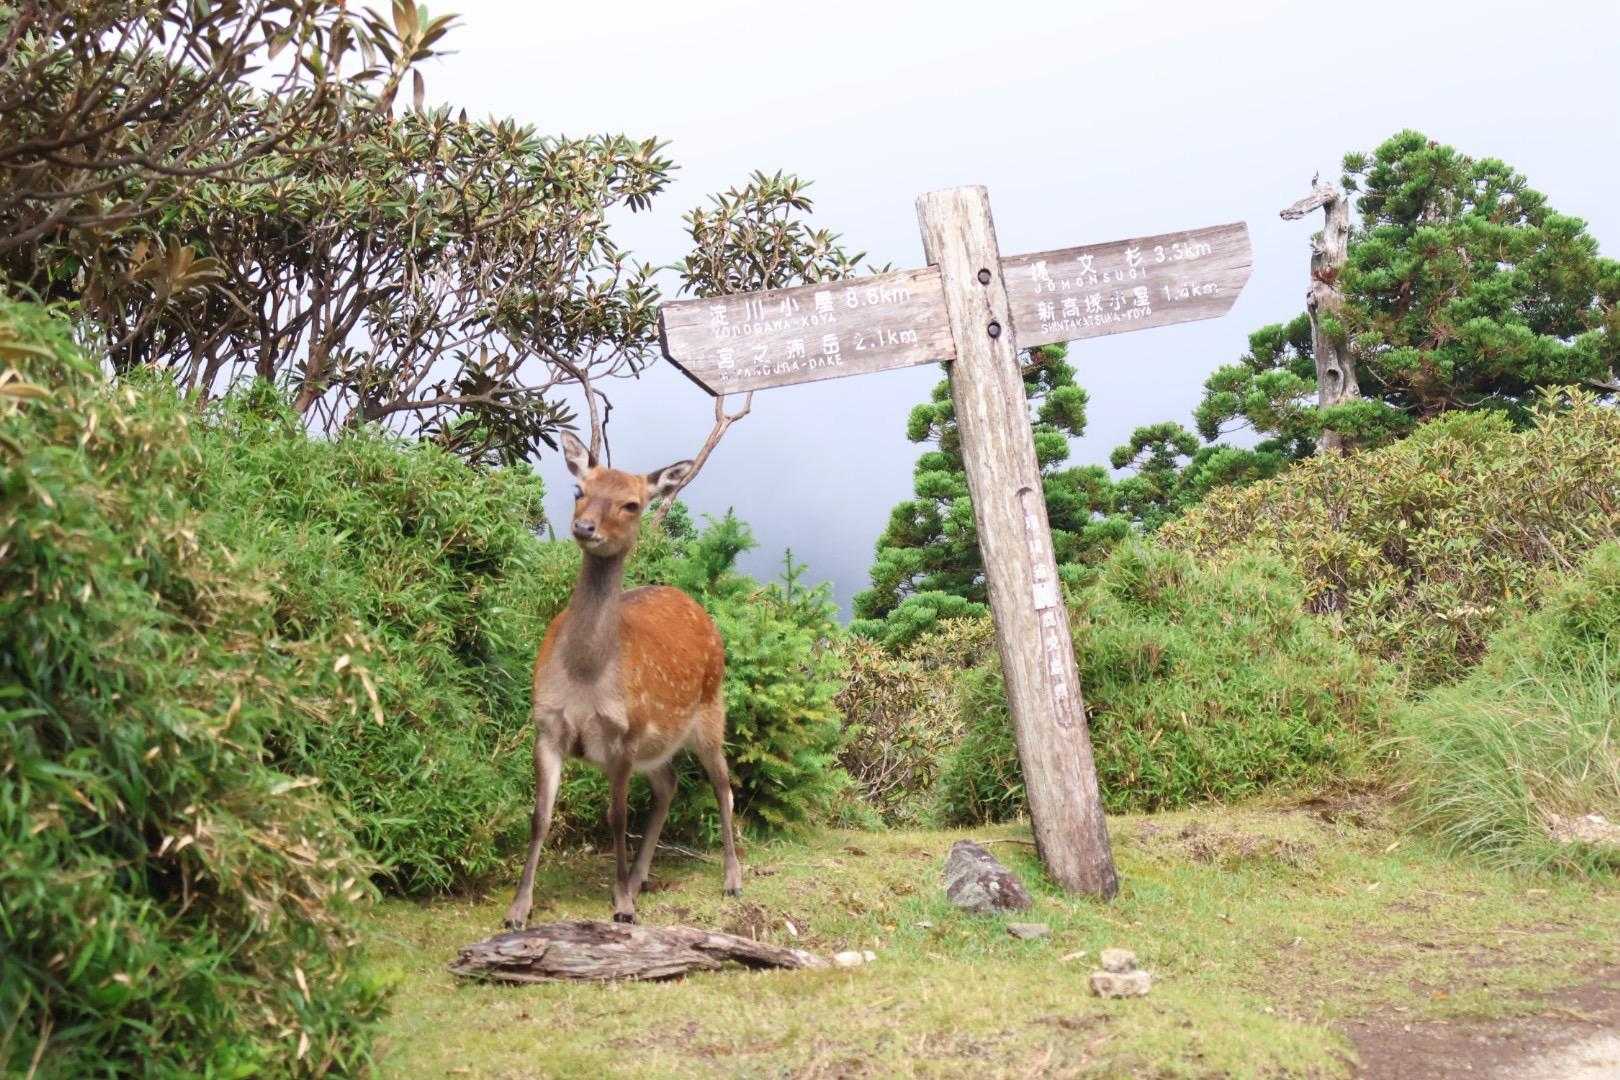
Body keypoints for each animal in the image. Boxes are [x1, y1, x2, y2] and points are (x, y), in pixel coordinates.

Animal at [503, 430, 742, 929]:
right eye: (579, 490)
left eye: (631, 504)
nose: (585, 528)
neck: (585, 677)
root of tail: (695, 604)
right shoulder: (546, 727)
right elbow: (539, 816)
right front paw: (518, 909)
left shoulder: (624, 735)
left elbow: (616, 817)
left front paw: (623, 909)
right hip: (659, 743)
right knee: (669, 784)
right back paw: (638, 877)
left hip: (711, 710)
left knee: (723, 784)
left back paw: (731, 879)